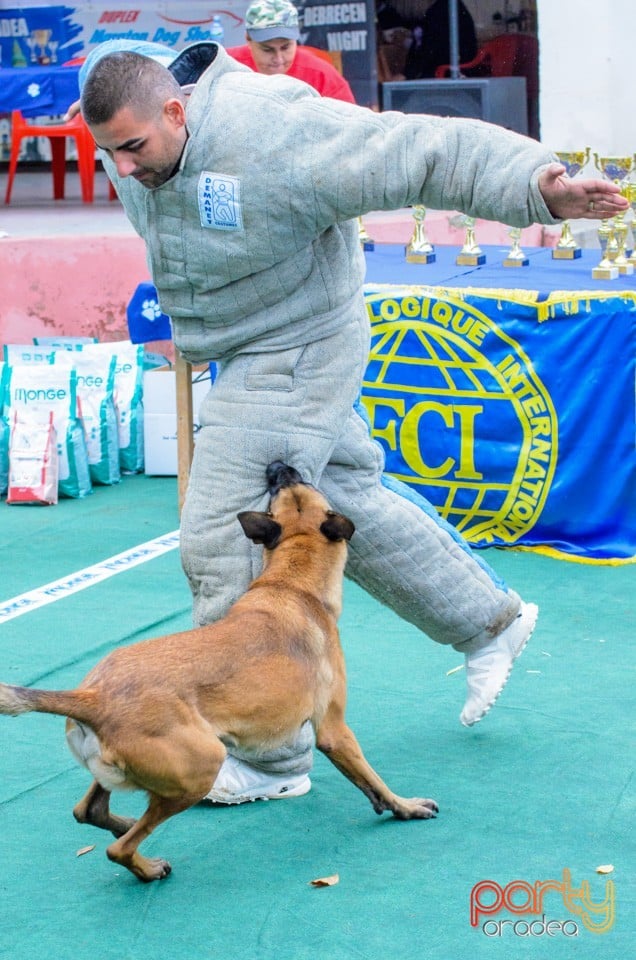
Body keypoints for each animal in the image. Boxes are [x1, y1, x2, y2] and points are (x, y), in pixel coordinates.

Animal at [0, 462, 438, 880]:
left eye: (285, 485)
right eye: (303, 482)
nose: (279, 466)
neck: (292, 584)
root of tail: (91, 696)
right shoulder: (334, 730)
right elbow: (372, 777)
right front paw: (405, 806)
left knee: (88, 812)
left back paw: (124, 825)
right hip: (201, 767)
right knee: (118, 848)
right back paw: (147, 866)